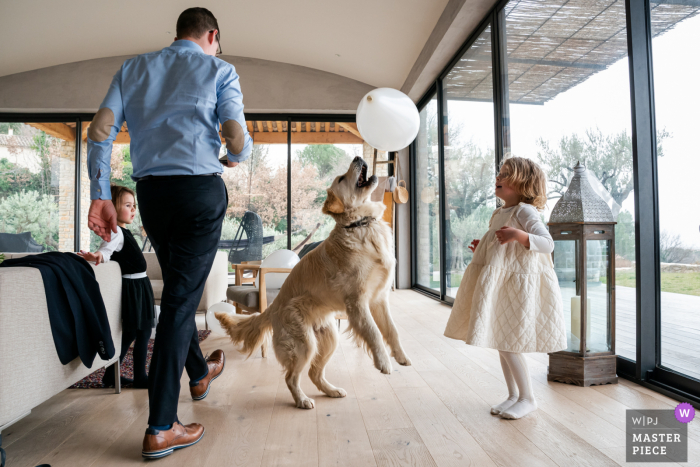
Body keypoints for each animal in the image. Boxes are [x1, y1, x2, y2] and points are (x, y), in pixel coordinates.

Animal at [217, 156, 410, 410]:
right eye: (342, 178)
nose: (358, 158)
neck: (361, 224)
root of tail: (272, 307)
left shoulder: (379, 299)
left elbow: (393, 330)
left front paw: (401, 356)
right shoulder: (357, 302)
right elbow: (374, 332)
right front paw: (384, 362)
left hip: (328, 338)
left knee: (314, 373)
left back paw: (331, 391)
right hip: (303, 343)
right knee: (292, 377)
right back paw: (302, 400)